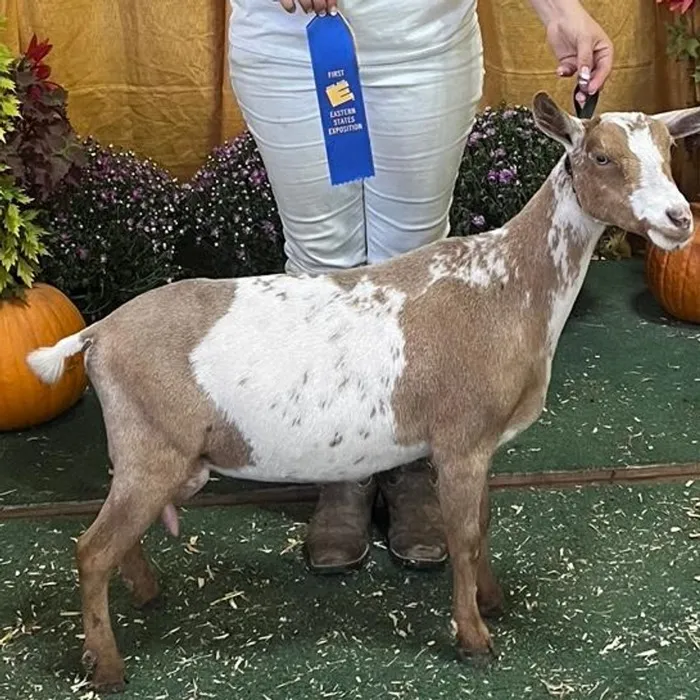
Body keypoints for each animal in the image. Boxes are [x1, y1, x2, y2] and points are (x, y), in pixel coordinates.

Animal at [26, 92, 700, 692]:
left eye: (670, 152)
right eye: (601, 156)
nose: (679, 219)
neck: (506, 284)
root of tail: (97, 332)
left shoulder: (482, 444)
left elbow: (483, 524)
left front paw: (493, 602)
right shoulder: (460, 441)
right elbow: (463, 536)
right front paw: (474, 638)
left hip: (149, 454)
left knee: (117, 539)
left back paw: (147, 596)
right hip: (151, 448)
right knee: (90, 550)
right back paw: (108, 668)